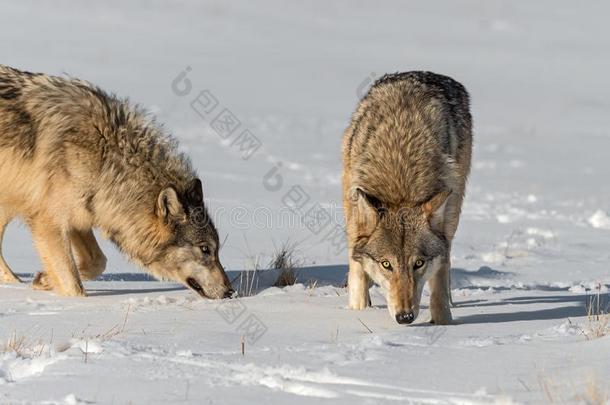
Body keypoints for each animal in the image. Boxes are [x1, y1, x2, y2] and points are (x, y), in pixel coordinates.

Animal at [0, 64, 233, 298]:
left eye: (217, 250)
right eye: (205, 249)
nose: (230, 291)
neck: (106, 161)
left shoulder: (82, 214)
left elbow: (98, 262)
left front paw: (44, 280)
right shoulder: (50, 222)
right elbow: (75, 287)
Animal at [342, 72, 470, 326]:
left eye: (418, 263)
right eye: (386, 264)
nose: (405, 317)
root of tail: (423, 72)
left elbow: (439, 280)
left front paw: (444, 321)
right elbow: (357, 270)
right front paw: (358, 310)